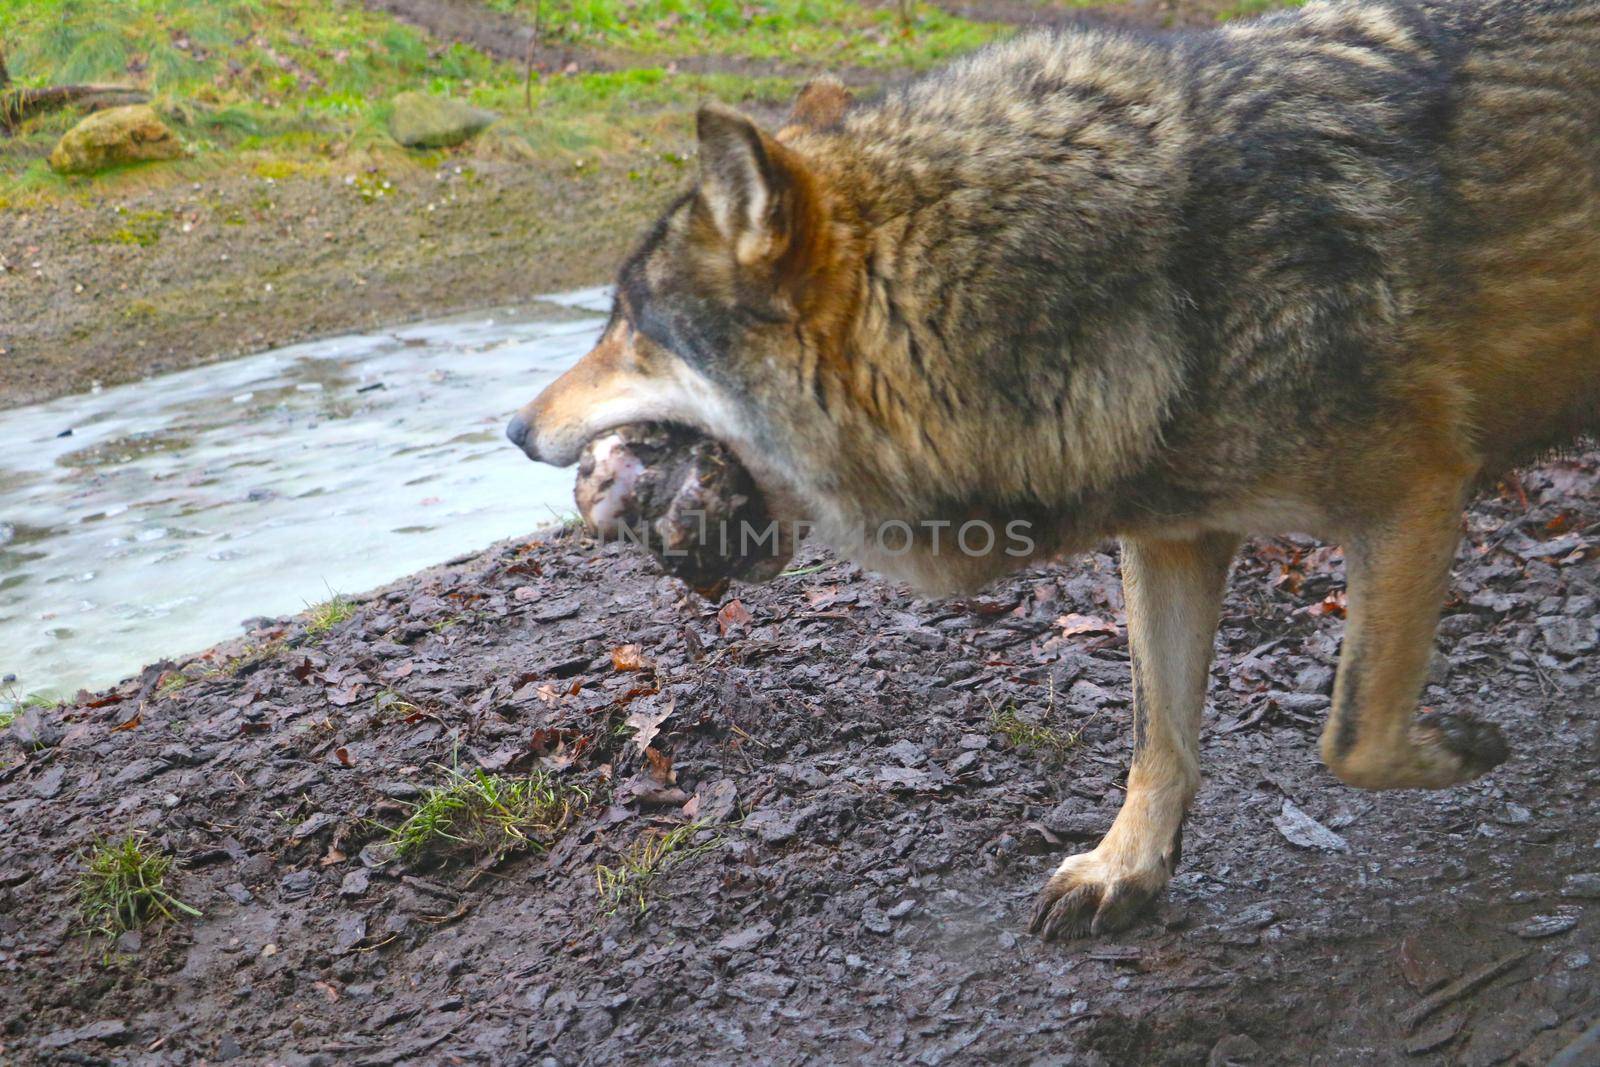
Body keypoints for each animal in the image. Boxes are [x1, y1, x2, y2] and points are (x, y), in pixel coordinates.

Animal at [502, 0, 1600, 940]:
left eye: (630, 326)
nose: (512, 426)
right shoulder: (1170, 536)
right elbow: (1158, 735)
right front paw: (1127, 868)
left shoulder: (1415, 496)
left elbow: (1351, 735)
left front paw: (1465, 745)